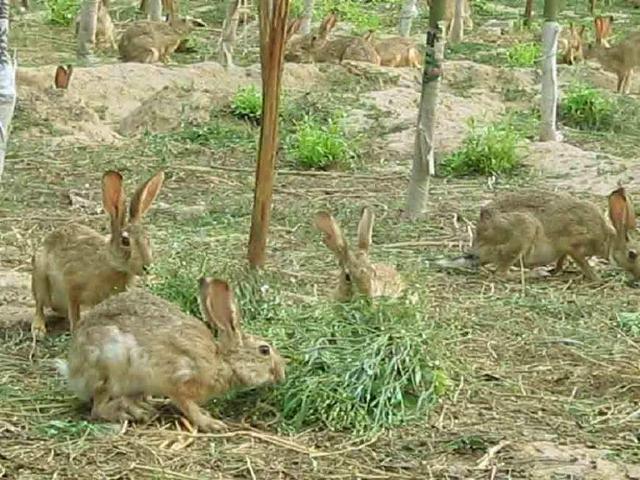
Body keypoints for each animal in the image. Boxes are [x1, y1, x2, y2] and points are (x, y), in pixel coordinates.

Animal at [31, 169, 164, 338]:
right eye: (125, 241)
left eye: (148, 238)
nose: (147, 266)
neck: (111, 263)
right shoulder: (72, 286)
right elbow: (74, 313)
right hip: (40, 276)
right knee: (39, 304)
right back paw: (38, 329)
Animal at [56, 278, 286, 432]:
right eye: (264, 350)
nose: (282, 374)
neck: (222, 362)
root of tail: (73, 371)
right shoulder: (178, 381)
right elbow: (188, 406)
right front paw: (211, 423)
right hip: (109, 366)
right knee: (98, 408)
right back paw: (132, 412)